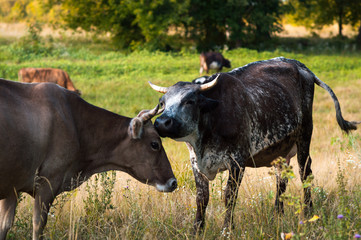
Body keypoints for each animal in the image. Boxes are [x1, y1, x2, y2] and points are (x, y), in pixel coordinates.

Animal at [0, 79, 176, 240]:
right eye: (155, 144)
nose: (173, 182)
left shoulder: (12, 188)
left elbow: (4, 225)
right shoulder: (47, 183)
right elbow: (38, 226)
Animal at [148, 57, 358, 232]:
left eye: (189, 101)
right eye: (162, 102)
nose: (162, 122)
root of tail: (299, 65)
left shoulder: (237, 161)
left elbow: (229, 196)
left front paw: (227, 230)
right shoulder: (196, 163)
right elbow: (201, 198)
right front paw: (196, 231)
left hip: (305, 136)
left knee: (305, 173)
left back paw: (308, 213)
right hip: (282, 151)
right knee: (281, 180)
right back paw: (277, 215)